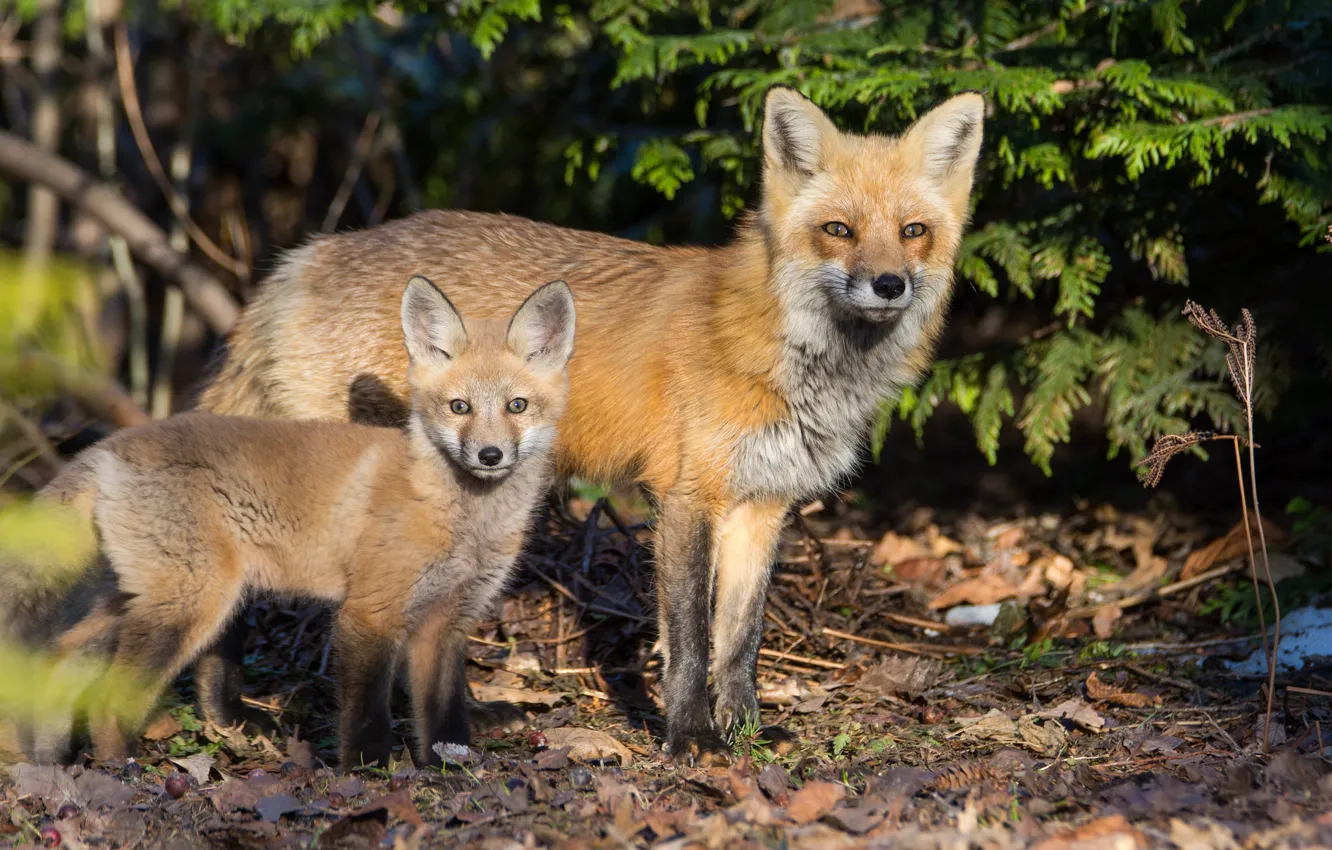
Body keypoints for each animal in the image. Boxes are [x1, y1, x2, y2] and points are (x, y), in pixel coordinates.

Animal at [0, 276, 576, 767]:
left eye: (517, 405)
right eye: (459, 407)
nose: (490, 455)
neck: (461, 519)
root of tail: (109, 446)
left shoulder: (449, 621)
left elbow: (445, 714)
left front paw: (448, 769)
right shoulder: (368, 613)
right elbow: (366, 716)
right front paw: (369, 775)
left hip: (139, 596)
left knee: (60, 657)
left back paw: (54, 764)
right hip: (191, 603)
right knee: (106, 698)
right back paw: (122, 771)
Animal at [193, 86, 986, 764]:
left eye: (913, 232)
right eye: (838, 231)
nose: (890, 284)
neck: (784, 353)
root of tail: (307, 255)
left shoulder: (763, 504)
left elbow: (740, 640)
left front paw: (748, 730)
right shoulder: (687, 497)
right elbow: (691, 641)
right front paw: (691, 737)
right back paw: (238, 716)